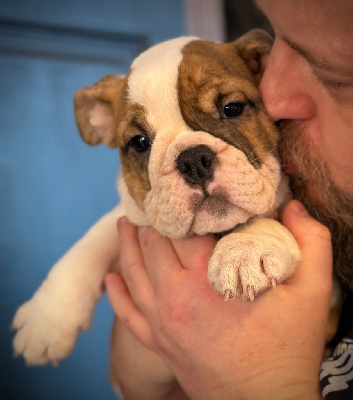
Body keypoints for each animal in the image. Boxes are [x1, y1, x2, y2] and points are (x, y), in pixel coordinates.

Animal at [11, 30, 296, 368]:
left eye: (232, 109)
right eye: (139, 142)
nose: (193, 160)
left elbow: (264, 214)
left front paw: (247, 248)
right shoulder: (129, 214)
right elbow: (91, 243)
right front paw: (46, 318)